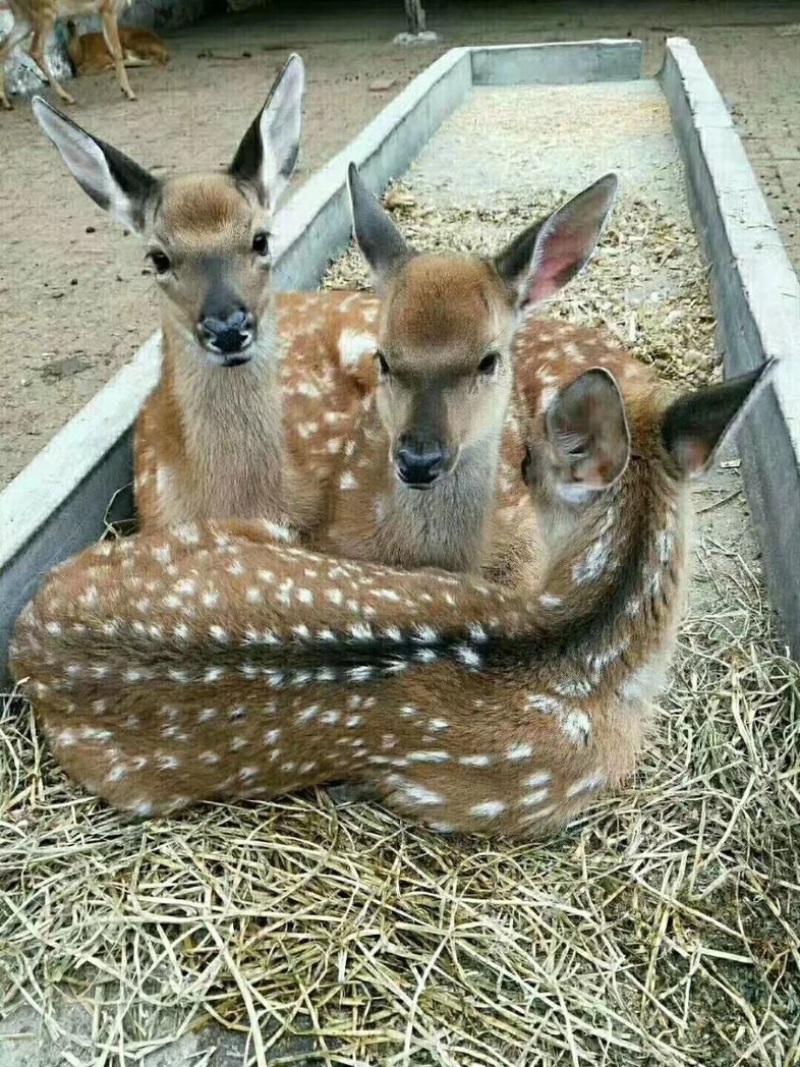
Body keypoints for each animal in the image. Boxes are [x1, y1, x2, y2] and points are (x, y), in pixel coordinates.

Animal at [0, 0, 137, 110]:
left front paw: (124, 89)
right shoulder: (108, 8)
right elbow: (116, 49)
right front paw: (129, 92)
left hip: (23, 18)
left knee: (3, 48)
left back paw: (6, 103)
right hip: (45, 13)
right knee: (35, 49)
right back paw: (66, 97)